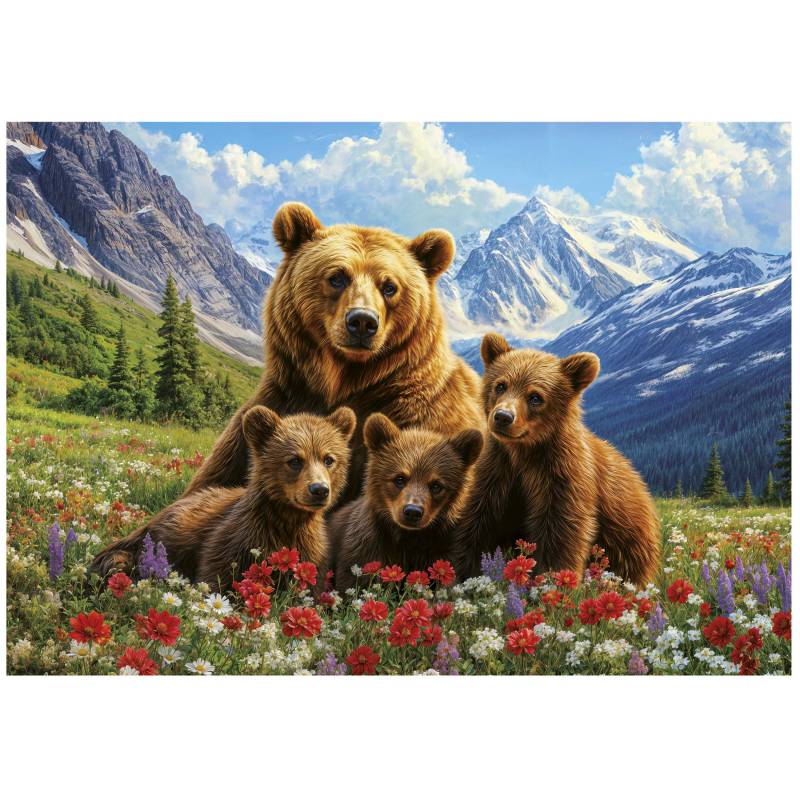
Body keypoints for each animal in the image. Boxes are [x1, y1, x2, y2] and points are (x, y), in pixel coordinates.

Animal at [89, 406, 356, 591]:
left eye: (328, 459)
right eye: (294, 460)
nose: (319, 489)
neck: (287, 519)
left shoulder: (310, 549)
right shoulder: (235, 535)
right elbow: (217, 574)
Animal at [182, 202, 483, 508]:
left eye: (390, 286)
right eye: (337, 277)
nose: (362, 321)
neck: (343, 380)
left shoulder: (422, 420)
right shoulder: (280, 403)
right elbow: (215, 479)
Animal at [326, 412, 484, 593]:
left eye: (436, 485)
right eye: (399, 478)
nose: (412, 511)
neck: (408, 539)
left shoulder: (444, 551)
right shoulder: (365, 549)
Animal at [453, 333, 661, 587]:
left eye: (535, 397)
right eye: (500, 385)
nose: (503, 416)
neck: (525, 453)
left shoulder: (562, 476)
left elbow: (562, 531)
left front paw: (551, 580)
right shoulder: (498, 470)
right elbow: (478, 521)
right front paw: (464, 573)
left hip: (629, 539)